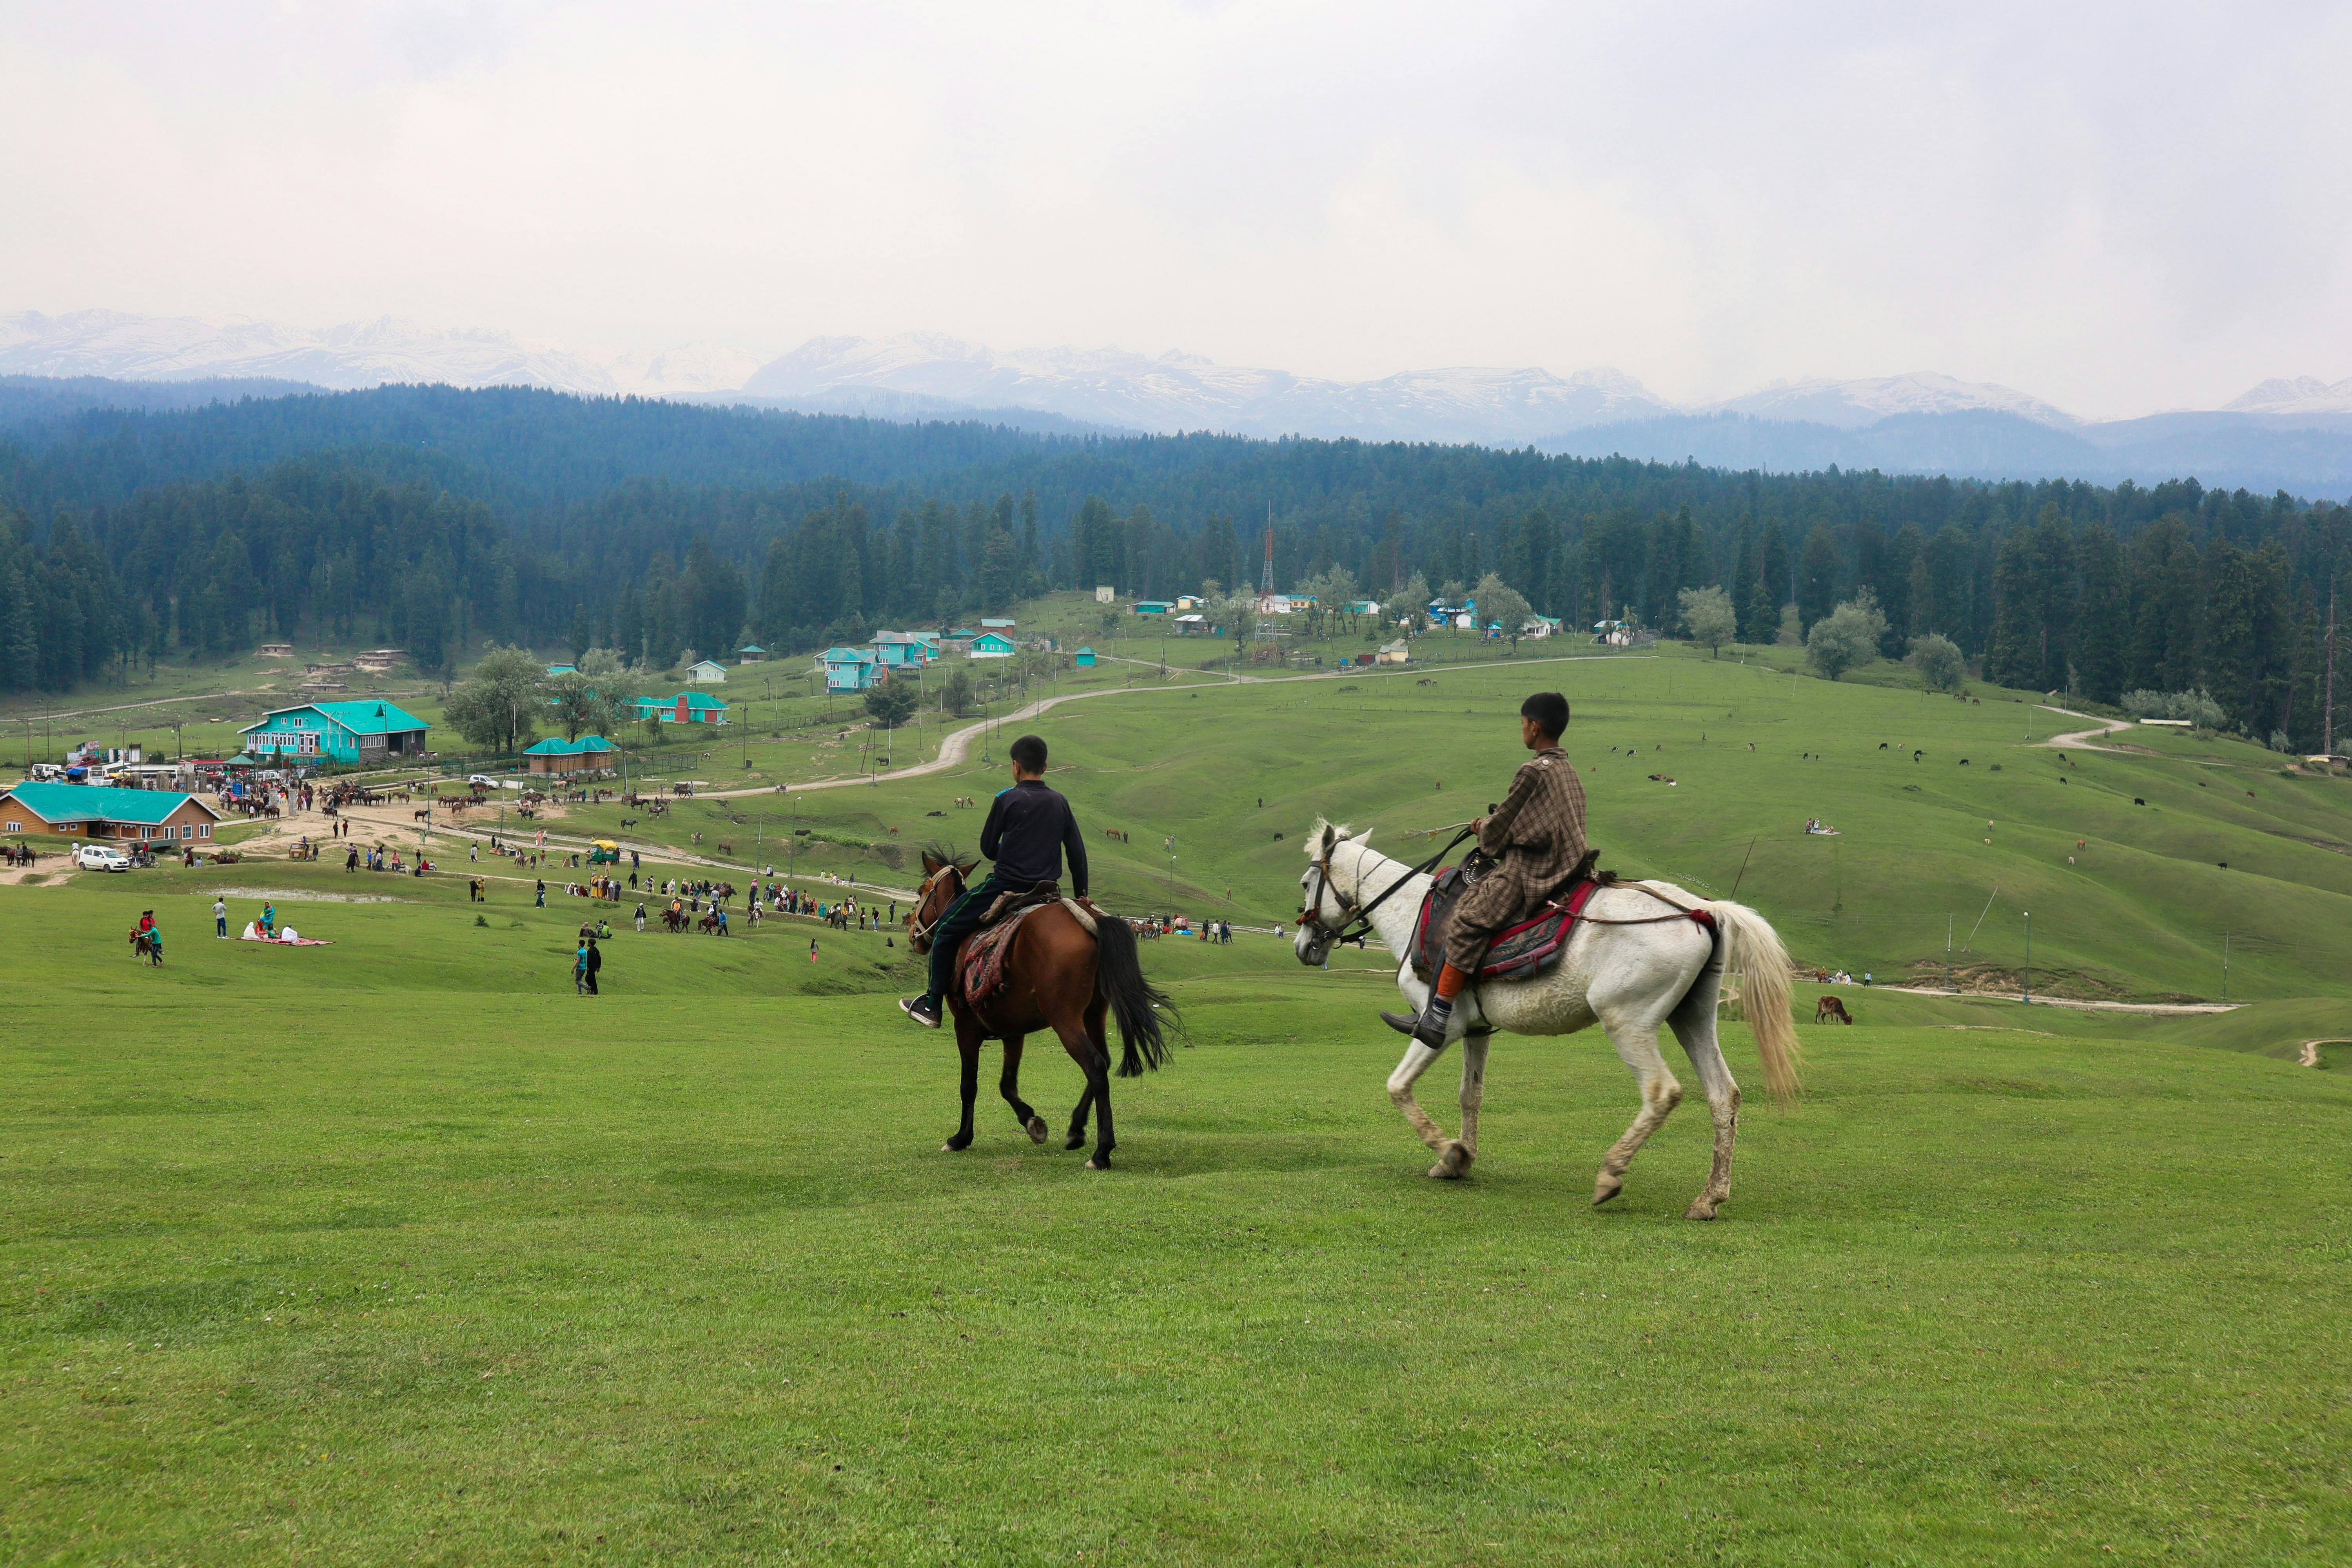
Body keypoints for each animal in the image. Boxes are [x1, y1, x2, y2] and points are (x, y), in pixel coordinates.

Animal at [905, 851, 1174, 1168]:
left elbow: (969, 1085)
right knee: (1104, 1061)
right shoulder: (1013, 1031)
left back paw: (1101, 1152)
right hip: (1094, 1013)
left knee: (1095, 1065)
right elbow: (1007, 1084)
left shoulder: (966, 1027)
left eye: (921, 891)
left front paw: (960, 1139)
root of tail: (1091, 920)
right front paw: (1033, 1123)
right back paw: (1076, 1130)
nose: (914, 934)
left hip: (1064, 1016)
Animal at [1292, 820, 1801, 1219]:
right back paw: (1708, 1199)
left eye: (1304, 882)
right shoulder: (1476, 1030)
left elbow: (1398, 1087)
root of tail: (1703, 909)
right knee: (1723, 1096)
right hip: (1692, 1018)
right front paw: (1460, 1158)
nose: (1303, 947)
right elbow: (1471, 1095)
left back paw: (1610, 1175)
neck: (1412, 911)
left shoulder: (1442, 1027)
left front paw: (1450, 1153)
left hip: (1626, 1021)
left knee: (1662, 1092)